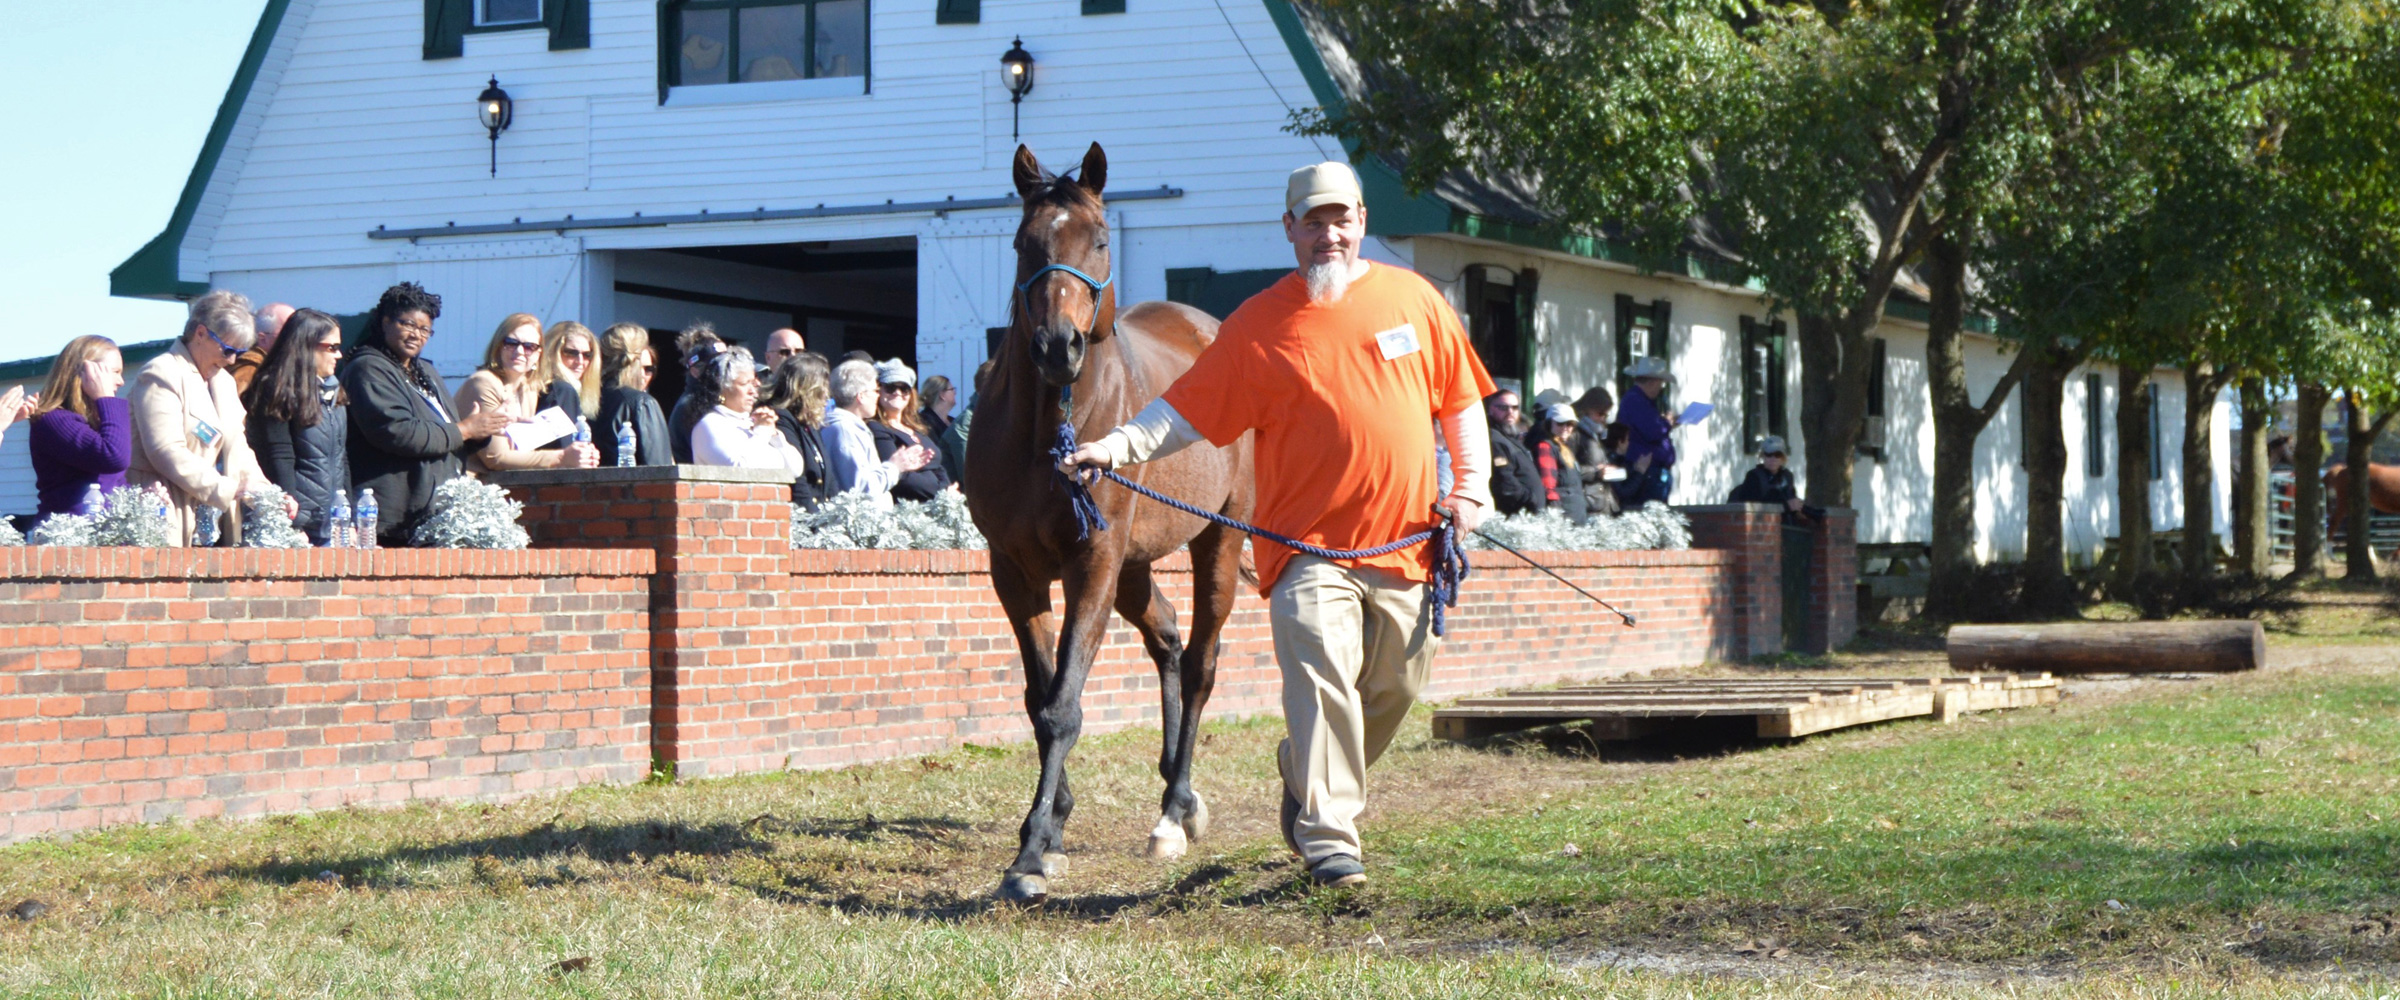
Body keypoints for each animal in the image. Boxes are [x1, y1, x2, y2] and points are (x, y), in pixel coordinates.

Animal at [955, 142, 1257, 901]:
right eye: (1023, 243)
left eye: (1098, 239)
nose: (1057, 346)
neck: (1049, 432)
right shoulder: (1016, 572)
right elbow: (1040, 698)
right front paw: (1052, 823)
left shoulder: (1090, 562)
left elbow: (1064, 703)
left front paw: (1032, 852)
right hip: (1135, 567)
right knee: (1168, 637)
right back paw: (1177, 796)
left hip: (1217, 539)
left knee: (1201, 660)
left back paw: (1175, 811)